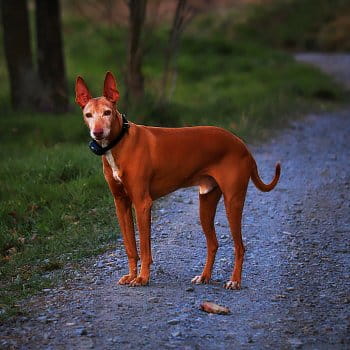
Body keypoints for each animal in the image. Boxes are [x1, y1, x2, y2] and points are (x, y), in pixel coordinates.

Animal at [75, 72, 280, 290]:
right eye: (88, 115)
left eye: (107, 112)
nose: (97, 133)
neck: (120, 142)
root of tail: (242, 145)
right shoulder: (120, 204)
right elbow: (130, 247)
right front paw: (131, 275)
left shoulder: (142, 203)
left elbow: (145, 249)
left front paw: (143, 277)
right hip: (206, 203)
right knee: (213, 243)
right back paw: (204, 276)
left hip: (233, 202)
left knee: (240, 246)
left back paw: (234, 280)